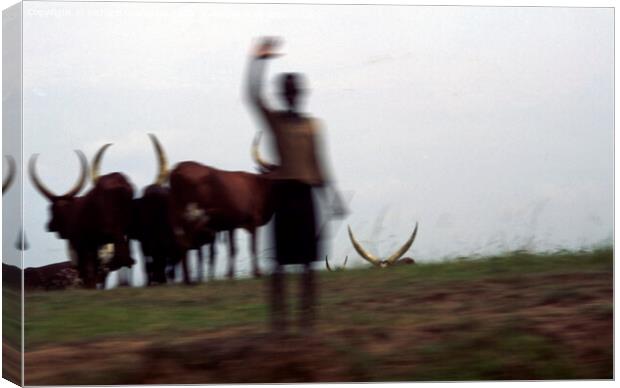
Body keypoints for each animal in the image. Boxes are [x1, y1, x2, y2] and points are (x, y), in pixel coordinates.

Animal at [28, 149, 134, 288]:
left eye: (50, 209)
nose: (50, 226)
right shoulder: (92, 245)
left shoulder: (81, 245)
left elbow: (87, 272)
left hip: (114, 230)